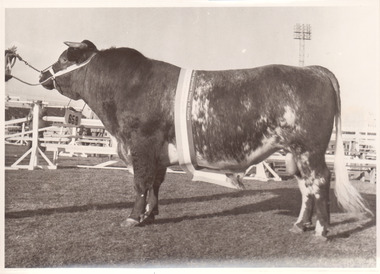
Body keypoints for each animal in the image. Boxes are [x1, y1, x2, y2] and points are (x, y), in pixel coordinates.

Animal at [40, 39, 370, 239]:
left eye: (64, 58)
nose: (43, 75)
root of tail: (312, 70)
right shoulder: (159, 151)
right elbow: (155, 184)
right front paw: (151, 214)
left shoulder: (141, 143)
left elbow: (140, 183)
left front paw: (133, 217)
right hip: (295, 151)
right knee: (306, 186)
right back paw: (301, 224)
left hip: (310, 148)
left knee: (320, 180)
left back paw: (322, 230)